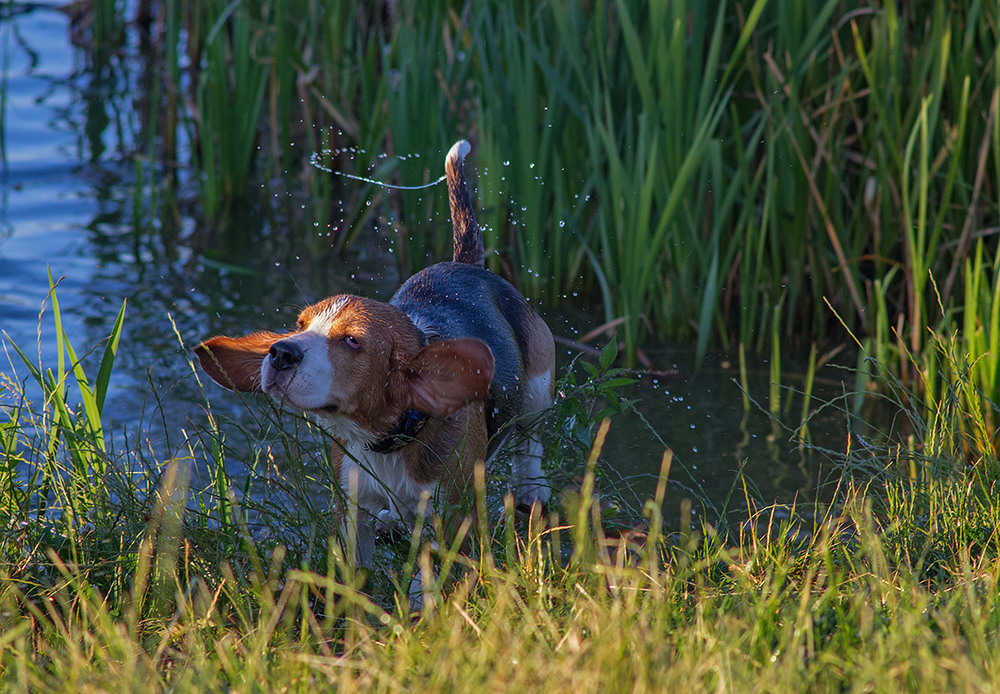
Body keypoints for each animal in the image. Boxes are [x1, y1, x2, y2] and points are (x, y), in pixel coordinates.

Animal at [195, 141, 556, 572]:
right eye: (299, 324)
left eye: (352, 341)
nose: (280, 352)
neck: (385, 439)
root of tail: (464, 266)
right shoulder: (352, 509)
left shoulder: (451, 519)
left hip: (537, 393)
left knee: (529, 446)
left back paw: (533, 494)